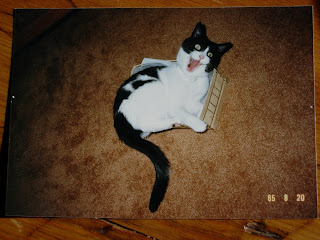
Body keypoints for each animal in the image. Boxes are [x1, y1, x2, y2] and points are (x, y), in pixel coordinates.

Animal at [113, 22, 232, 212]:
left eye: (210, 54)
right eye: (197, 47)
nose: (201, 55)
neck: (190, 80)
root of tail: (118, 122)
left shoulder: (196, 101)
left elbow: (200, 107)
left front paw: (207, 114)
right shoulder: (177, 104)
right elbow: (186, 113)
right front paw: (200, 125)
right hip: (153, 87)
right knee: (147, 122)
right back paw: (175, 121)